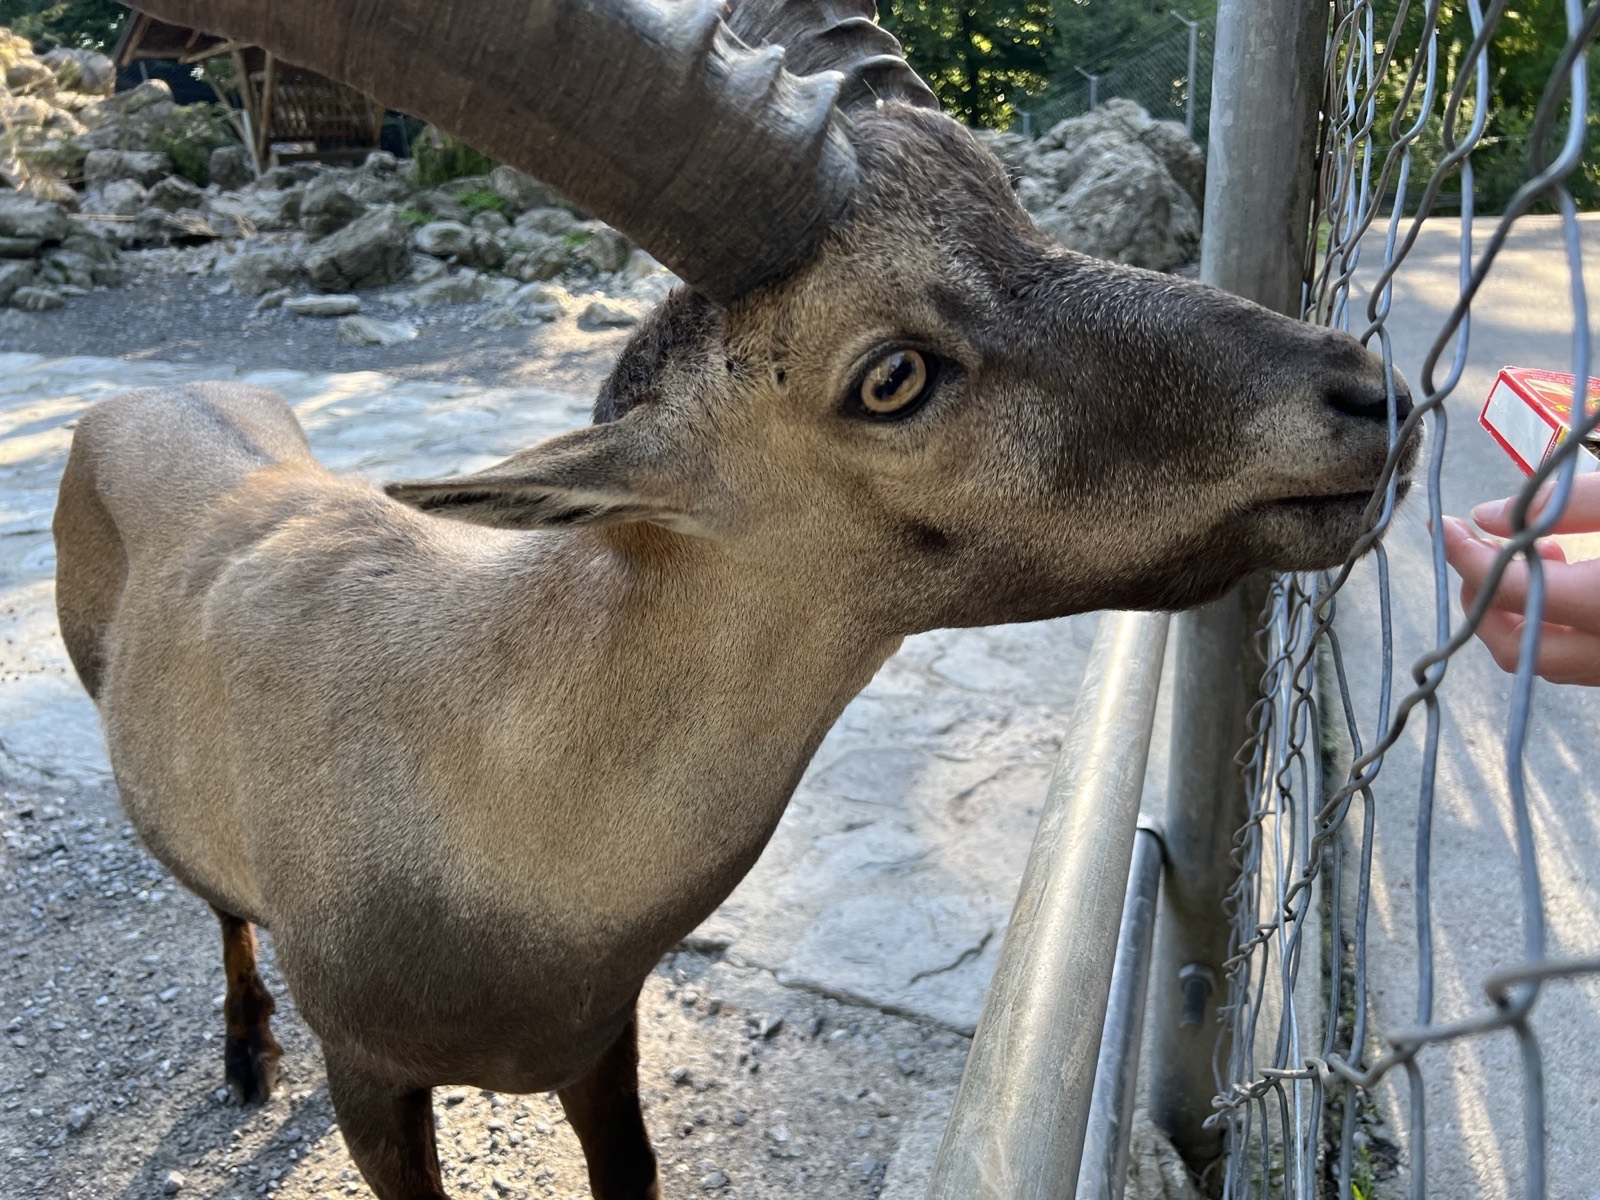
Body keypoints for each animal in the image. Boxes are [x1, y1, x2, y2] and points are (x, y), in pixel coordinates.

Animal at [51, 1, 1417, 1196]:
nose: (1366, 396)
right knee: (220, 905)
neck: (482, 786)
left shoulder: (600, 1044)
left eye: (1020, 215)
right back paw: (245, 1050)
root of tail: (142, 397)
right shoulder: (373, 1076)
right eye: (891, 377)